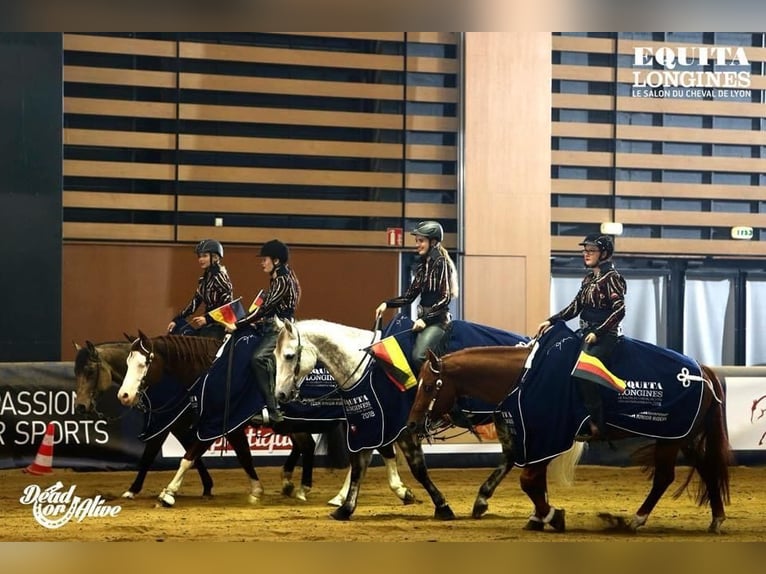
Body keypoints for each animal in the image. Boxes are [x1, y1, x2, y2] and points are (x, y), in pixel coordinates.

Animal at [73, 340, 214, 499]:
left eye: (90, 371)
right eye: (75, 372)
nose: (80, 406)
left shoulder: (162, 425)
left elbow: (148, 457)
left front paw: (132, 490)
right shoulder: (177, 426)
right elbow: (192, 453)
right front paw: (207, 486)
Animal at [116, 331, 413, 507]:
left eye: (143, 363)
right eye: (127, 362)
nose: (124, 396)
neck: (213, 370)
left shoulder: (217, 421)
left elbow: (189, 455)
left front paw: (168, 492)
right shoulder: (227, 425)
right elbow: (243, 455)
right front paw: (257, 489)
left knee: (379, 448)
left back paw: (395, 490)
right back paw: (328, 493)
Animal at [406, 333, 732, 534]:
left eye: (428, 386)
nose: (411, 425)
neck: (525, 377)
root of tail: (701, 370)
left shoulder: (546, 436)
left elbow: (529, 481)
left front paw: (552, 516)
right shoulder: (538, 439)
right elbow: (534, 481)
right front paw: (538, 517)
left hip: (672, 438)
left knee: (666, 476)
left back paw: (637, 519)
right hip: (683, 437)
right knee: (705, 468)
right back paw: (716, 519)